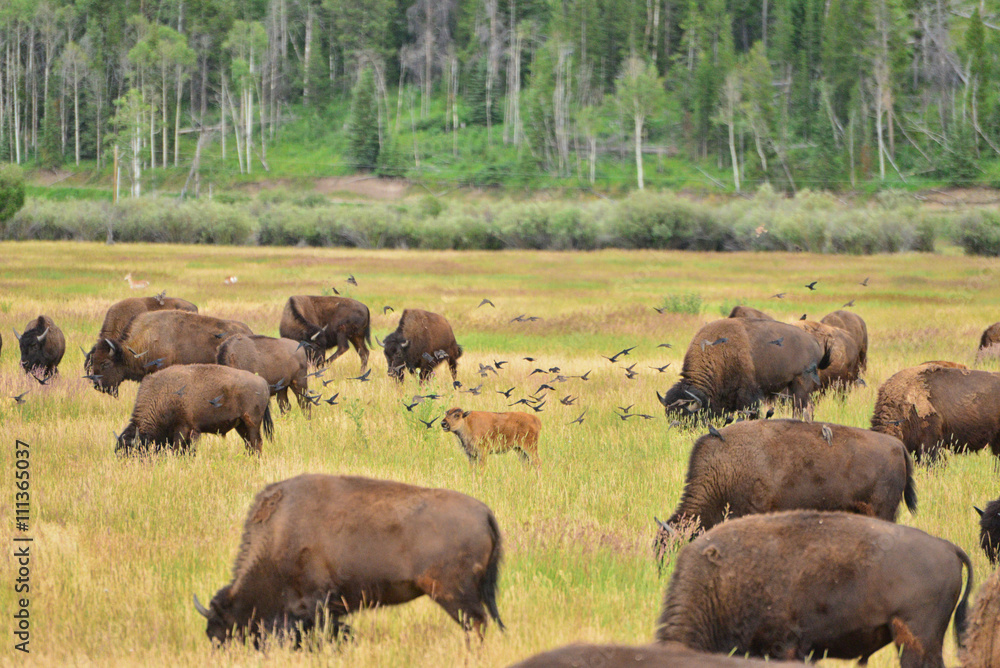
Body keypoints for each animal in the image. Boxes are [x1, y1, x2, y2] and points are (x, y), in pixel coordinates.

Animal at [115, 364, 273, 455]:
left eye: (132, 451)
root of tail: (263, 382)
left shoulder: (184, 429)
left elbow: (179, 448)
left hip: (252, 423)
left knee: (256, 442)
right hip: (241, 425)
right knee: (249, 443)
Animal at [193, 474, 504, 645]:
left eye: (222, 632)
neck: (279, 535)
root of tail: (484, 512)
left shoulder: (315, 605)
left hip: (454, 595)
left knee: (476, 624)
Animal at [656, 318, 831, 419]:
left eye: (689, 417)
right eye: (669, 416)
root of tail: (814, 341)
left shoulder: (748, 395)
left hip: (801, 383)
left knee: (801, 408)